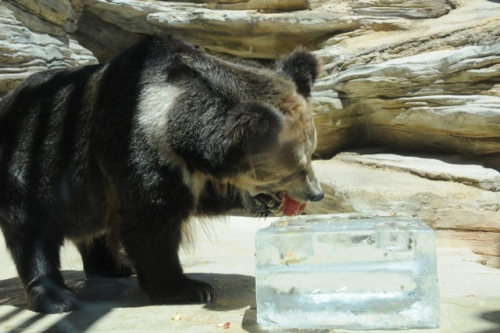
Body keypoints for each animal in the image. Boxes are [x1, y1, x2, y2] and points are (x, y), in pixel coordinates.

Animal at [0, 35, 324, 312]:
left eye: (310, 154)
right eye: (295, 168)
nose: (316, 194)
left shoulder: (191, 166)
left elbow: (203, 197)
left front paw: (261, 203)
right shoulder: (134, 144)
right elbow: (150, 222)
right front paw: (190, 288)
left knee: (94, 229)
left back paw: (114, 267)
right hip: (29, 168)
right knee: (32, 235)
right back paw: (58, 298)